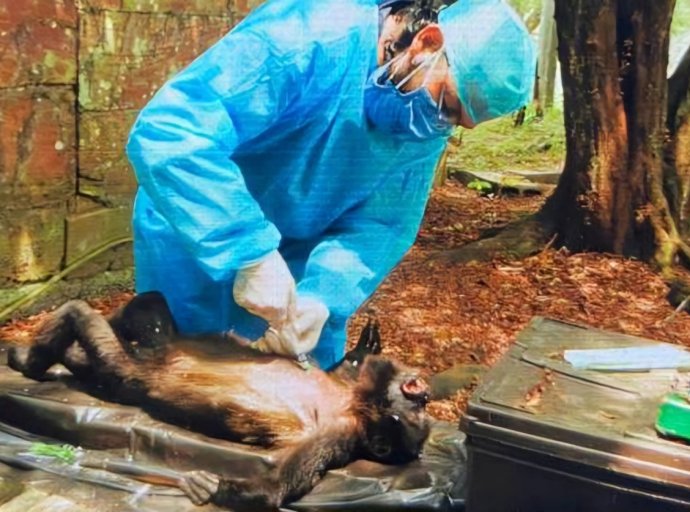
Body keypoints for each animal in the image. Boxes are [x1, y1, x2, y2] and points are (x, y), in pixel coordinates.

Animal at [7, 292, 431, 511]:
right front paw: (366, 345)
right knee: (148, 305)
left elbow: (276, 485)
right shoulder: (343, 387)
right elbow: (346, 365)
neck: (351, 406)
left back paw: (31, 361)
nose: (424, 395)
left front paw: (213, 489)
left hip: (124, 373)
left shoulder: (332, 438)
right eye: (419, 410)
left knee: (82, 318)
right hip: (153, 345)